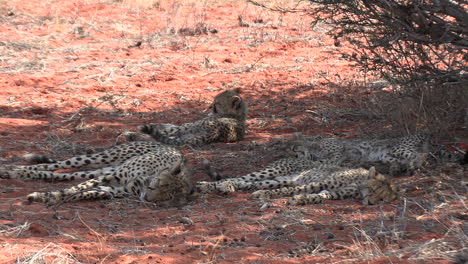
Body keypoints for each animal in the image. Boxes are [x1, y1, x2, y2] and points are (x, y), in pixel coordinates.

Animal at [0, 141, 194, 205]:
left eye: (166, 197)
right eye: (159, 185)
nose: (147, 199)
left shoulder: (117, 188)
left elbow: (86, 192)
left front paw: (50, 197)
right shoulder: (112, 177)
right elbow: (73, 189)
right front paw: (48, 196)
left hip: (101, 168)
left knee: (60, 174)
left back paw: (19, 173)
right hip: (103, 159)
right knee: (58, 164)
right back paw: (10, 170)